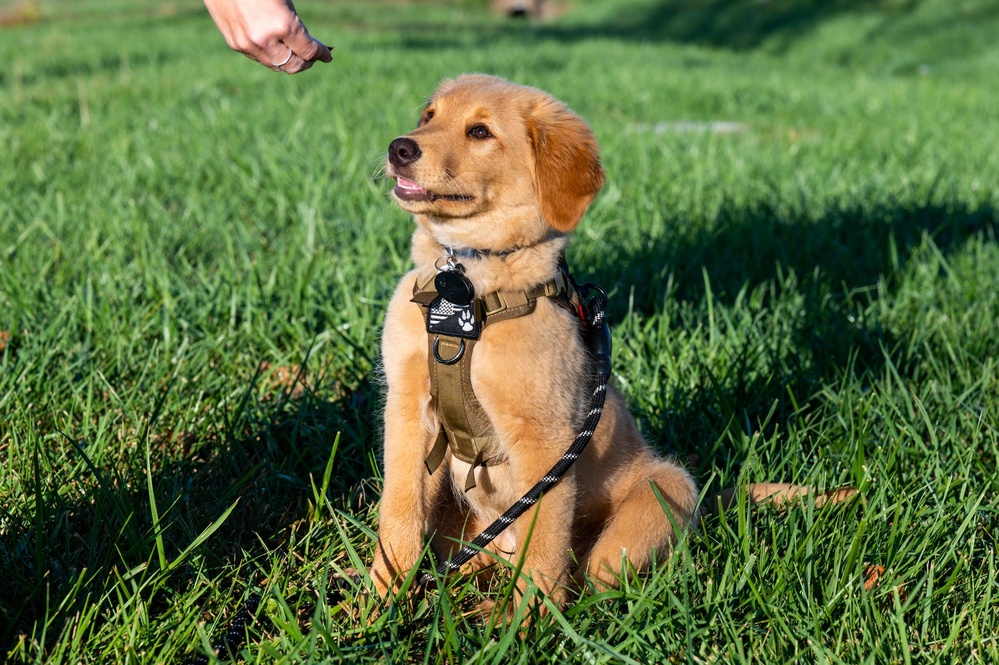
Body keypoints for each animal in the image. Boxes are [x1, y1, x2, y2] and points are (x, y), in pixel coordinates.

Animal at [370, 74, 704, 612]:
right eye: (428, 116)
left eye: (480, 131)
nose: (399, 147)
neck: (466, 292)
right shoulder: (407, 409)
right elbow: (398, 511)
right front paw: (379, 602)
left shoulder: (543, 442)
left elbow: (543, 551)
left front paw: (524, 624)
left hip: (666, 490)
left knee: (586, 577)